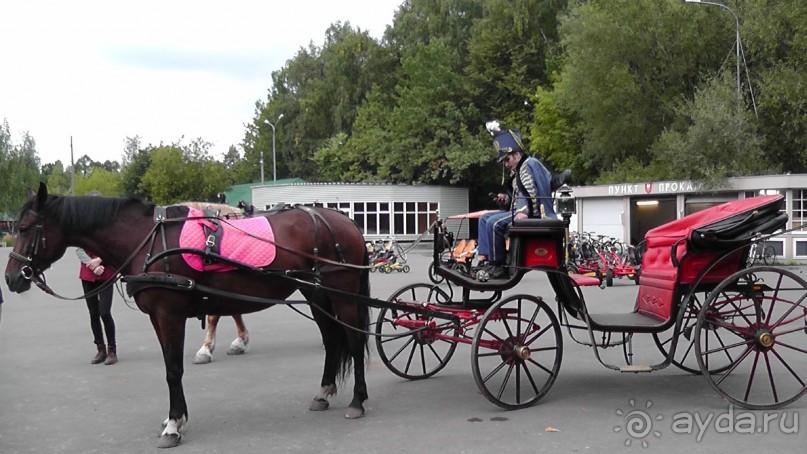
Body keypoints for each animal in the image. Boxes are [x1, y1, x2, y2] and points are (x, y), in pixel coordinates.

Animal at [4, 183, 370, 448]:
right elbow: (171, 367)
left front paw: (173, 425)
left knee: (353, 340)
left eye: (25, 227)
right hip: (316, 294)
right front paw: (175, 419)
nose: (11, 278)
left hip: (341, 293)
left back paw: (358, 400)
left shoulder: (170, 314)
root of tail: (346, 221)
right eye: (16, 227)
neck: (147, 241)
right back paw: (323, 392)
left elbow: (173, 370)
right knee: (331, 339)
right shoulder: (158, 317)